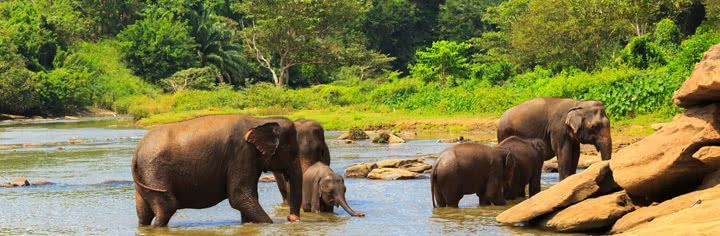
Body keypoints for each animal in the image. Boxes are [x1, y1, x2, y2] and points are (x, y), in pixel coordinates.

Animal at [132, 115, 304, 227]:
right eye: (292, 151)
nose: (291, 218)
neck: (259, 120)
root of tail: (138, 149)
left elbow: (248, 198)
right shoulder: (242, 153)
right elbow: (240, 197)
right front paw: (270, 224)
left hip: (146, 174)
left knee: (144, 212)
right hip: (154, 170)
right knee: (167, 207)